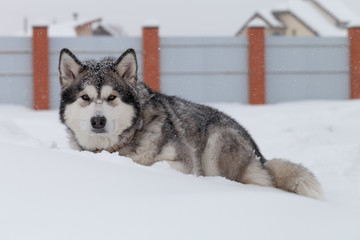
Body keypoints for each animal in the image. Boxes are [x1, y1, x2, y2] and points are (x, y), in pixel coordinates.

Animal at [58, 47, 324, 200]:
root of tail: (258, 153)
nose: (98, 120)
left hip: (217, 142)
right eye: (85, 98)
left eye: (112, 97)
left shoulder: (181, 164)